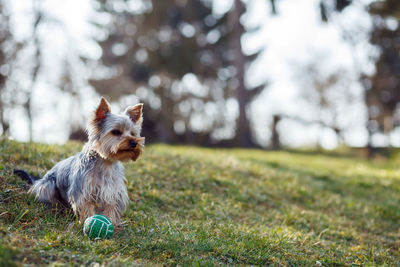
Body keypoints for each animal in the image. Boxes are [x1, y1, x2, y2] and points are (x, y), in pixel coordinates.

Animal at [14, 97, 145, 227]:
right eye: (116, 132)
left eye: (133, 133)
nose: (134, 142)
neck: (106, 162)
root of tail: (37, 181)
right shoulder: (82, 189)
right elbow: (86, 206)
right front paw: (88, 222)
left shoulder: (112, 191)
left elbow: (111, 208)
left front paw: (111, 223)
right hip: (47, 185)